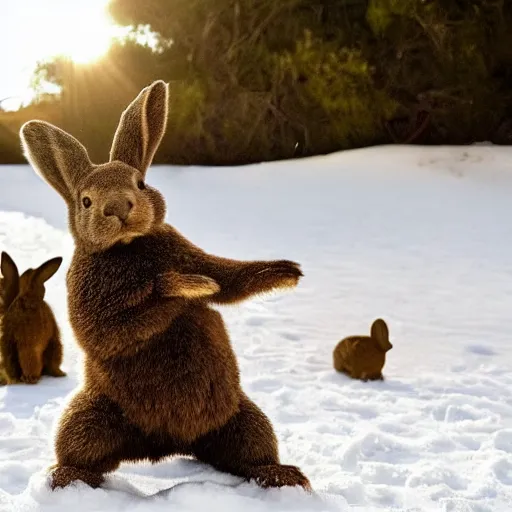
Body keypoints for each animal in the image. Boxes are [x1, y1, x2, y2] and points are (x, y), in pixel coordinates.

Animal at [20, 80, 310, 492]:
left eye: (140, 183)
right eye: (86, 201)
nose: (118, 207)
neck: (129, 246)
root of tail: (165, 446)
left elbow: (228, 280)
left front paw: (285, 271)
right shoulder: (93, 310)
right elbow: (119, 324)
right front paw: (189, 285)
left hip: (244, 419)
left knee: (249, 456)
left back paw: (284, 475)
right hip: (88, 418)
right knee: (78, 454)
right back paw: (66, 479)